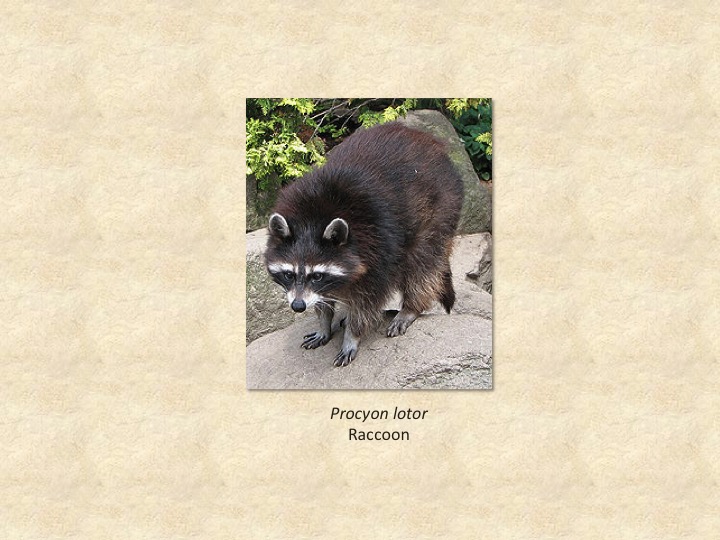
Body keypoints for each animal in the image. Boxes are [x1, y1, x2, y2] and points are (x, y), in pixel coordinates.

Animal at [264, 121, 464, 367]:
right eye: (289, 274)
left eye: (317, 275)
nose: (298, 306)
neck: (311, 218)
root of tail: (431, 142)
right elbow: (322, 299)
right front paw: (324, 323)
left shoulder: (378, 249)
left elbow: (367, 302)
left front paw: (352, 335)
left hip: (442, 205)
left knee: (424, 263)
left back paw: (411, 307)